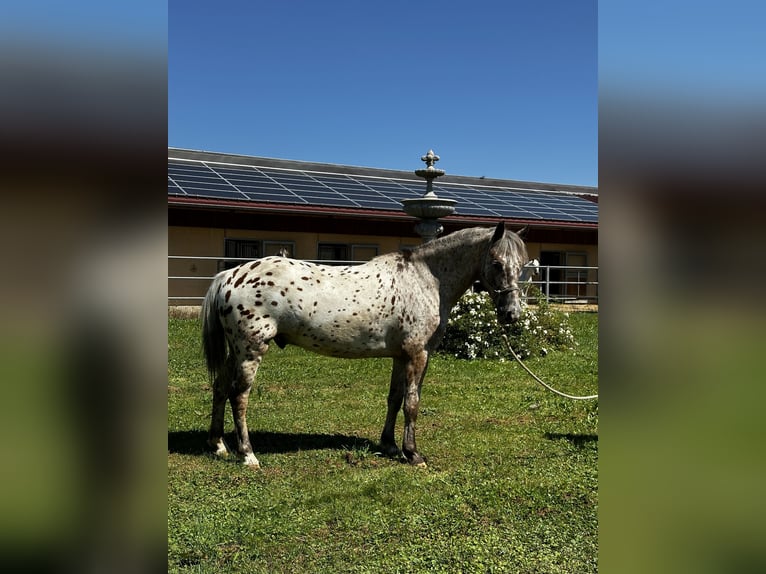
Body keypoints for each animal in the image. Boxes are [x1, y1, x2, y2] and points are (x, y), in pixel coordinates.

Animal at [201, 223, 532, 470]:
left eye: (522, 266)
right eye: (496, 263)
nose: (511, 314)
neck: (426, 279)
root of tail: (230, 275)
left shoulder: (401, 356)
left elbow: (395, 399)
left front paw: (389, 445)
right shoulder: (418, 353)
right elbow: (412, 403)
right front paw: (413, 454)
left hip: (235, 351)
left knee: (220, 387)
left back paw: (218, 445)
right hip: (251, 350)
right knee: (239, 396)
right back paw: (247, 454)